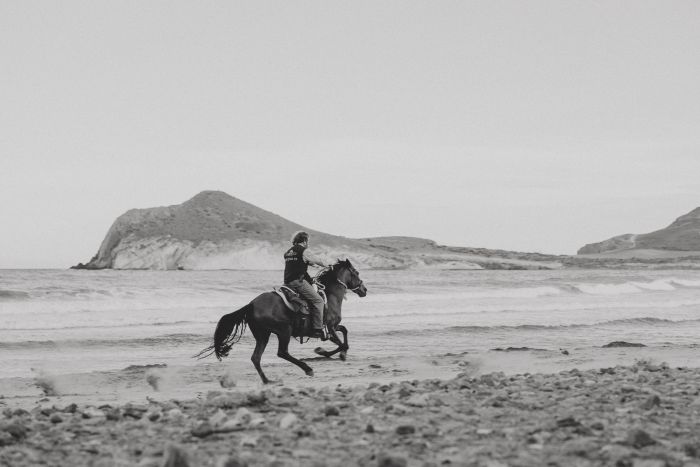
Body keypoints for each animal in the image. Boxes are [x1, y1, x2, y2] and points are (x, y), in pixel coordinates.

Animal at [197, 260, 366, 384]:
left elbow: (344, 331)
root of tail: (251, 304)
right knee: (282, 352)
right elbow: (343, 344)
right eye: (356, 272)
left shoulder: (333, 328)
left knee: (256, 358)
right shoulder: (329, 329)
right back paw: (307, 368)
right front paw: (324, 352)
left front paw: (330, 353)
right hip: (284, 331)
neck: (330, 295)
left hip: (263, 336)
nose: (364, 289)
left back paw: (267, 380)